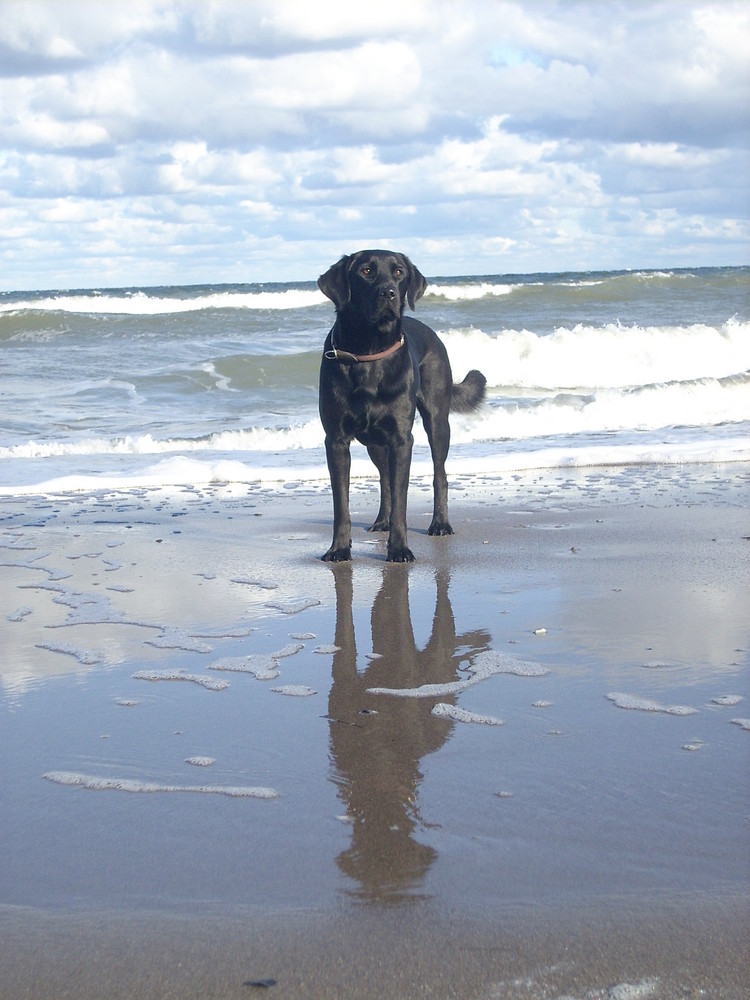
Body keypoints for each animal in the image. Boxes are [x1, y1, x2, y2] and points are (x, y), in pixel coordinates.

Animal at [318, 250, 488, 564]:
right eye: (366, 271)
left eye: (398, 272)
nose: (389, 293)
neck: (369, 352)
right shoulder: (336, 440)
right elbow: (341, 504)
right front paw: (339, 549)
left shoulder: (401, 439)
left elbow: (401, 500)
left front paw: (399, 549)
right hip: (373, 442)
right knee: (385, 478)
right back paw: (381, 521)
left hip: (437, 421)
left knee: (439, 474)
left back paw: (440, 523)